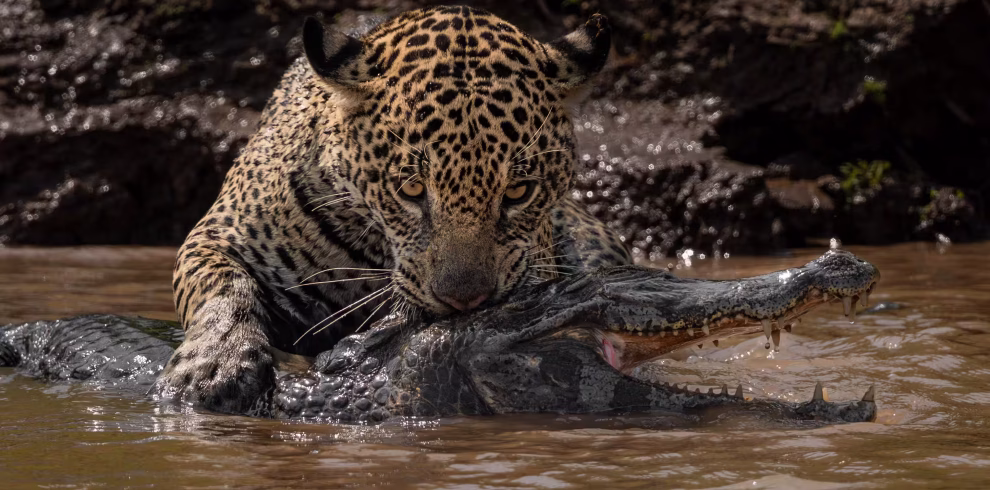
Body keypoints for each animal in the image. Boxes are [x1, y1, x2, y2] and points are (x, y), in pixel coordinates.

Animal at [153, 5, 632, 413]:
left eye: (517, 192)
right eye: (412, 189)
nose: (465, 301)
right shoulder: (219, 234)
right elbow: (223, 285)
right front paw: (214, 365)